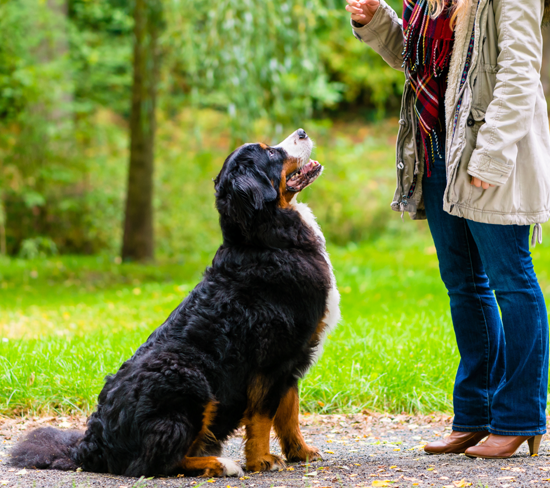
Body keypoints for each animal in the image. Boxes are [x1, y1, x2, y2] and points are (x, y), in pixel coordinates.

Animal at [11, 127, 340, 478]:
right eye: (271, 153)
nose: (302, 132)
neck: (266, 240)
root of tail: (91, 445)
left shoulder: (293, 358)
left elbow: (288, 413)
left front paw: (300, 452)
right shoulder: (273, 358)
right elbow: (263, 416)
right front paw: (261, 460)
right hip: (188, 377)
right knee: (156, 462)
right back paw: (220, 464)